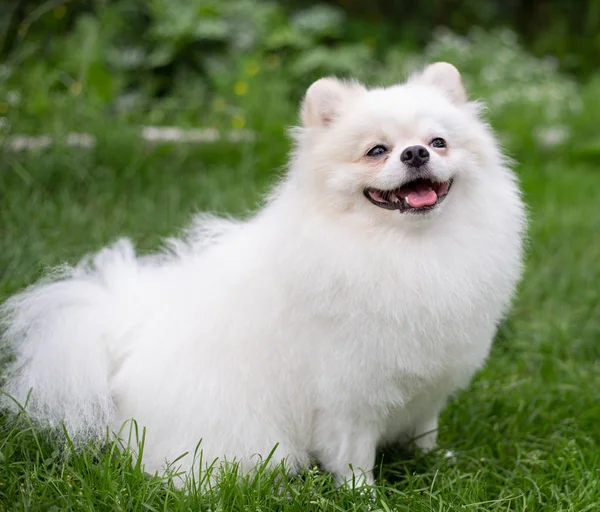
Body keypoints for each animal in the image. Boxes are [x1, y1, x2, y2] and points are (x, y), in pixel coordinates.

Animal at [0, 64, 524, 488]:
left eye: (439, 142)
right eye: (376, 151)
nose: (415, 153)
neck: (407, 249)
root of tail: (123, 342)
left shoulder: (429, 380)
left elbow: (424, 429)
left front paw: (437, 462)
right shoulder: (347, 393)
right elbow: (353, 456)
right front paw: (366, 497)